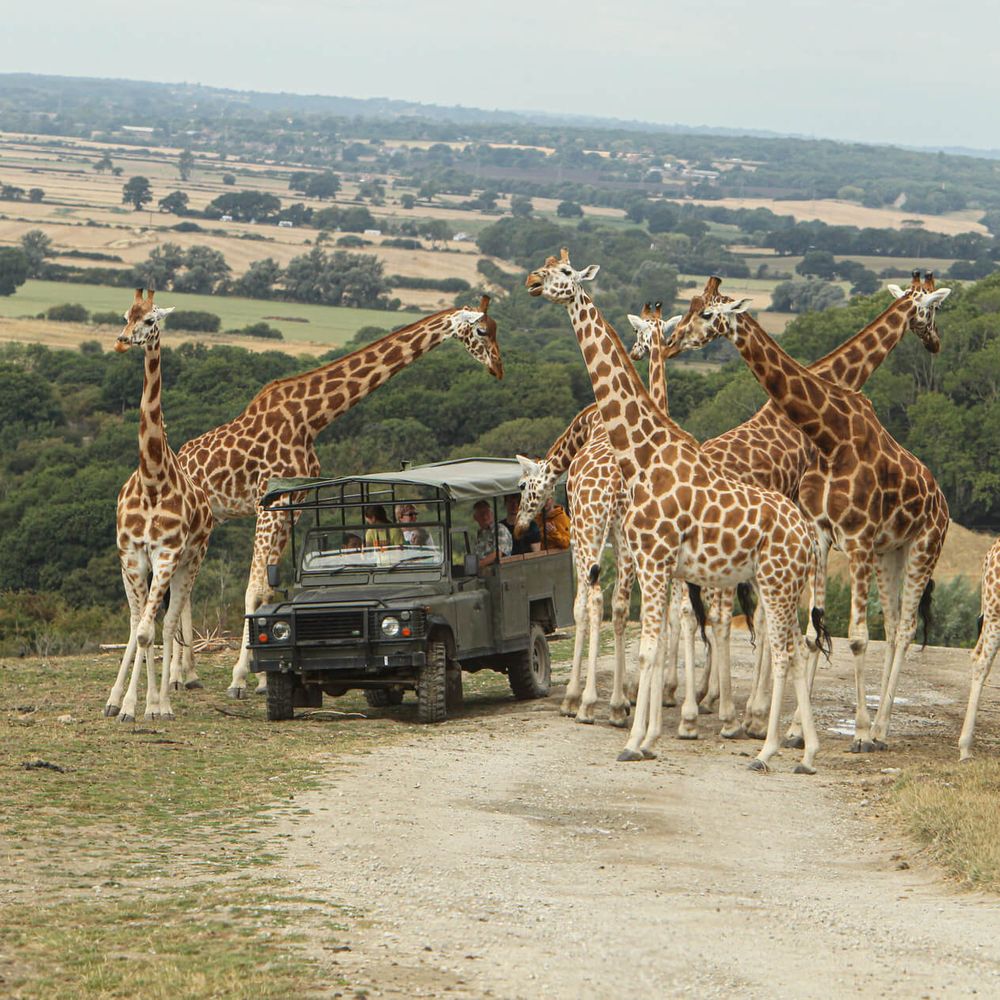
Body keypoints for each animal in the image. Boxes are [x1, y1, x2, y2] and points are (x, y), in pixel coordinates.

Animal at [103, 292, 213, 724]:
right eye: (125, 315)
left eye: (150, 320)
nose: (123, 339)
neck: (152, 478)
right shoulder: (133, 554)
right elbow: (139, 630)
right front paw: (126, 705)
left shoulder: (166, 554)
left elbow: (154, 631)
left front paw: (151, 705)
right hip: (137, 565)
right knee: (139, 621)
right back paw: (117, 698)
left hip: (191, 560)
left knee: (166, 624)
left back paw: (163, 701)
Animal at [175, 300, 504, 700]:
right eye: (482, 331)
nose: (498, 368)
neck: (311, 418)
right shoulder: (268, 506)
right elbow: (254, 590)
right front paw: (240, 678)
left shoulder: (290, 507)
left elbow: (268, 590)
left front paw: (264, 679)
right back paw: (177, 677)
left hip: (204, 527)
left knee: (181, 590)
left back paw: (187, 675)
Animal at [524, 248, 828, 764]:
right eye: (543, 265)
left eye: (564, 272)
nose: (529, 281)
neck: (643, 455)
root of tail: (806, 536)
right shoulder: (659, 563)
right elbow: (657, 635)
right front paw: (648, 734)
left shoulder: (653, 557)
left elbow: (649, 641)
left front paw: (634, 736)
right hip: (781, 584)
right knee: (796, 645)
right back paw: (802, 752)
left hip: (773, 580)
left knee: (784, 648)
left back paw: (766, 746)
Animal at [632, 270, 952, 740]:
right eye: (932, 309)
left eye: (705, 313)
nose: (935, 343)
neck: (830, 430)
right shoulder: (819, 534)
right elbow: (805, 626)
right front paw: (769, 717)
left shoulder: (836, 537)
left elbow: (816, 627)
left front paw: (775, 717)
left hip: (911, 547)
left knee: (900, 628)